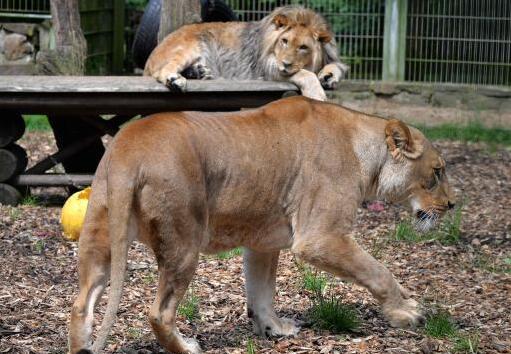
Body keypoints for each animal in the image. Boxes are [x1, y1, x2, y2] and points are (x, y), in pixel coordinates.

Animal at [69, 95, 456, 352]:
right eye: (437, 171)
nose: (452, 205)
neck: (365, 153)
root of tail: (128, 151)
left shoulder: (262, 242)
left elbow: (261, 291)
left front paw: (273, 328)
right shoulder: (321, 237)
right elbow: (379, 271)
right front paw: (405, 313)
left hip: (100, 239)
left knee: (81, 303)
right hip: (184, 242)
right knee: (159, 313)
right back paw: (188, 347)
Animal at [146, 6, 350, 101]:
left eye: (303, 47)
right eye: (284, 41)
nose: (285, 64)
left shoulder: (331, 56)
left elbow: (337, 66)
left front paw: (328, 76)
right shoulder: (267, 68)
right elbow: (305, 74)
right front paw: (317, 94)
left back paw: (199, 72)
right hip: (189, 47)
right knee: (163, 70)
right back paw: (176, 80)